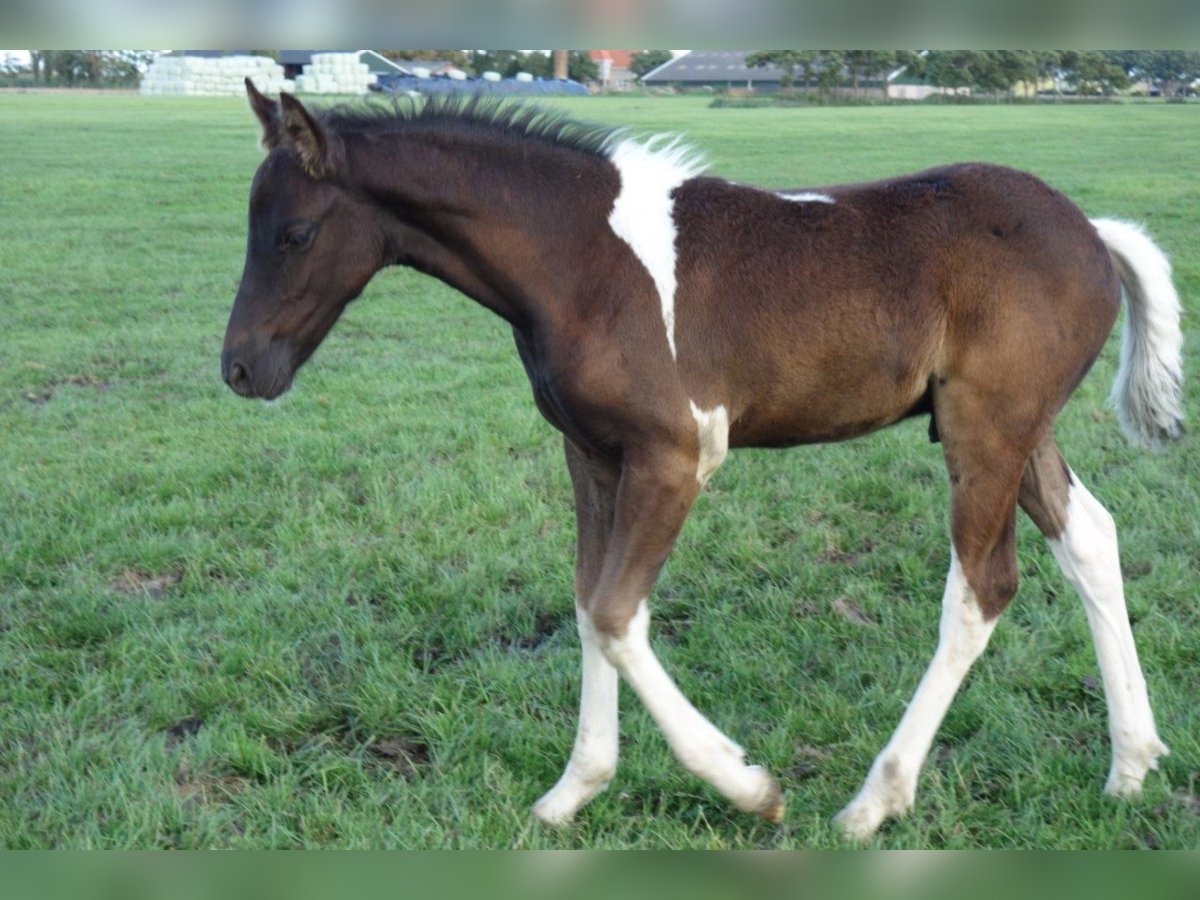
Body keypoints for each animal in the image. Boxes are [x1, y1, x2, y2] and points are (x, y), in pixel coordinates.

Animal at [223, 81, 1180, 844]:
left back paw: (875, 801)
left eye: (295, 232)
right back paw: (1131, 765)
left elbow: (616, 614)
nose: (239, 369)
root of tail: (1090, 231)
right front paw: (573, 791)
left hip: (986, 430)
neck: (584, 262)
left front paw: (748, 786)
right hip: (1018, 430)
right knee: (1090, 540)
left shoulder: (675, 457)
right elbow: (588, 603)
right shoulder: (592, 455)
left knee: (981, 588)